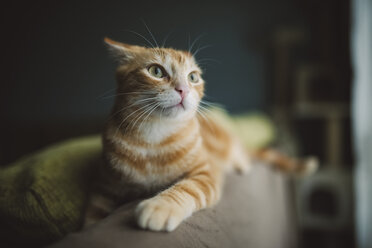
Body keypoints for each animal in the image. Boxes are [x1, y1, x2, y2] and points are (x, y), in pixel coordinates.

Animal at [84, 37, 316, 232]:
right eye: (156, 71)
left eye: (192, 77)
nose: (183, 89)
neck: (153, 139)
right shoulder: (104, 187)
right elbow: (91, 217)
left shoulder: (206, 172)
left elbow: (186, 188)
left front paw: (160, 206)